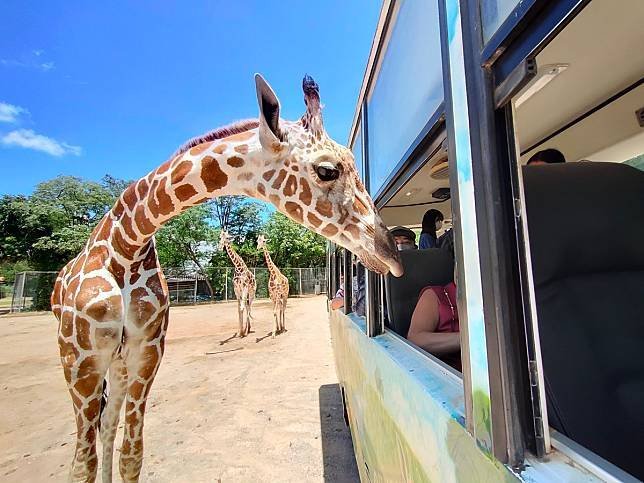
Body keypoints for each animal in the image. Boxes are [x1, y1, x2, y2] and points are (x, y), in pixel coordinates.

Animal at [51, 73, 402, 482]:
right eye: (327, 170)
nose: (391, 254)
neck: (127, 242)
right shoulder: (81, 361)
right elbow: (81, 466)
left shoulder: (147, 351)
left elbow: (132, 455)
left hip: (121, 364)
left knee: (109, 424)